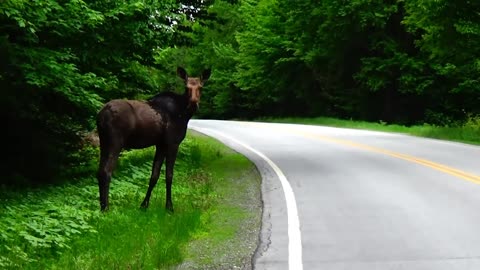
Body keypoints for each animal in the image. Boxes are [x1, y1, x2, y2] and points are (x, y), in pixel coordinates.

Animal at [96, 66, 211, 212]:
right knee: (106, 171)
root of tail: (101, 115)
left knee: (100, 171)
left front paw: (144, 205)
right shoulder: (173, 142)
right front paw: (169, 207)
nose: (194, 104)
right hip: (115, 142)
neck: (184, 114)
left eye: (201, 87)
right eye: (186, 87)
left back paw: (102, 207)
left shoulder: (160, 144)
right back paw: (106, 208)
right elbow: (169, 175)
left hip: (103, 141)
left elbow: (154, 175)